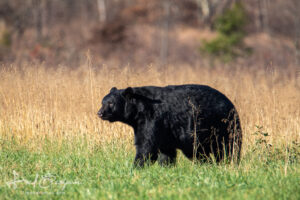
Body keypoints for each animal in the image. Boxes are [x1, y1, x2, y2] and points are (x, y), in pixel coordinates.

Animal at [97, 85, 243, 167]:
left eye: (110, 103)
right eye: (102, 102)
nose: (100, 113)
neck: (139, 110)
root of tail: (231, 104)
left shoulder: (153, 119)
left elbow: (147, 147)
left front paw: (136, 167)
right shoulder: (161, 129)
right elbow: (166, 151)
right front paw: (166, 167)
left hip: (223, 126)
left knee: (229, 148)